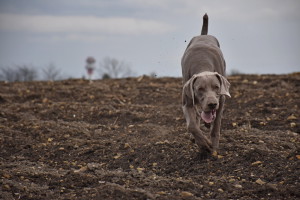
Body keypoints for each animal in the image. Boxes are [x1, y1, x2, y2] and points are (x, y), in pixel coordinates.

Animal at [182, 13, 231, 155]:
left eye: (217, 87)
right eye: (200, 89)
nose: (212, 104)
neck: (202, 65)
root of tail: (203, 35)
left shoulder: (221, 101)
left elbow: (216, 126)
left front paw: (213, 148)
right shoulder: (187, 102)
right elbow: (192, 125)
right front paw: (204, 145)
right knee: (197, 117)